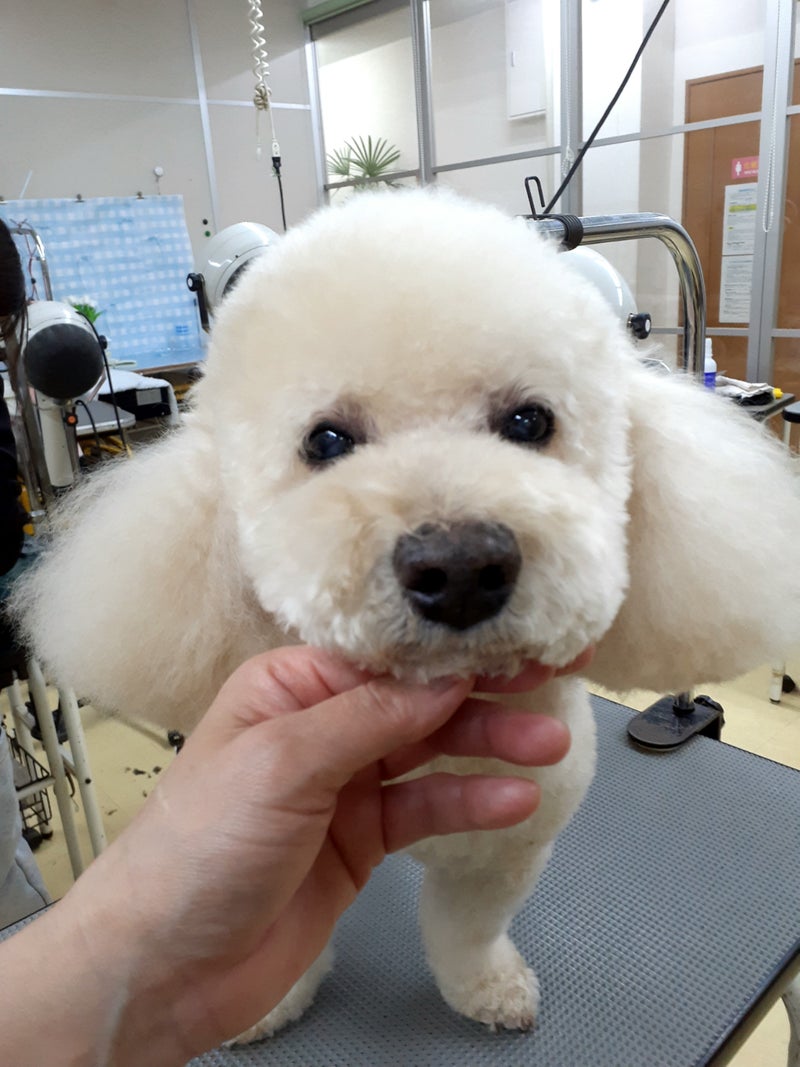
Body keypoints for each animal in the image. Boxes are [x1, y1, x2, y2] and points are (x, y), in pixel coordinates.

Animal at [13, 190, 800, 1040]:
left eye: (530, 422)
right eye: (326, 439)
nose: (458, 568)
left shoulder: (507, 841)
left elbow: (468, 930)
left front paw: (487, 988)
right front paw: (270, 1002)